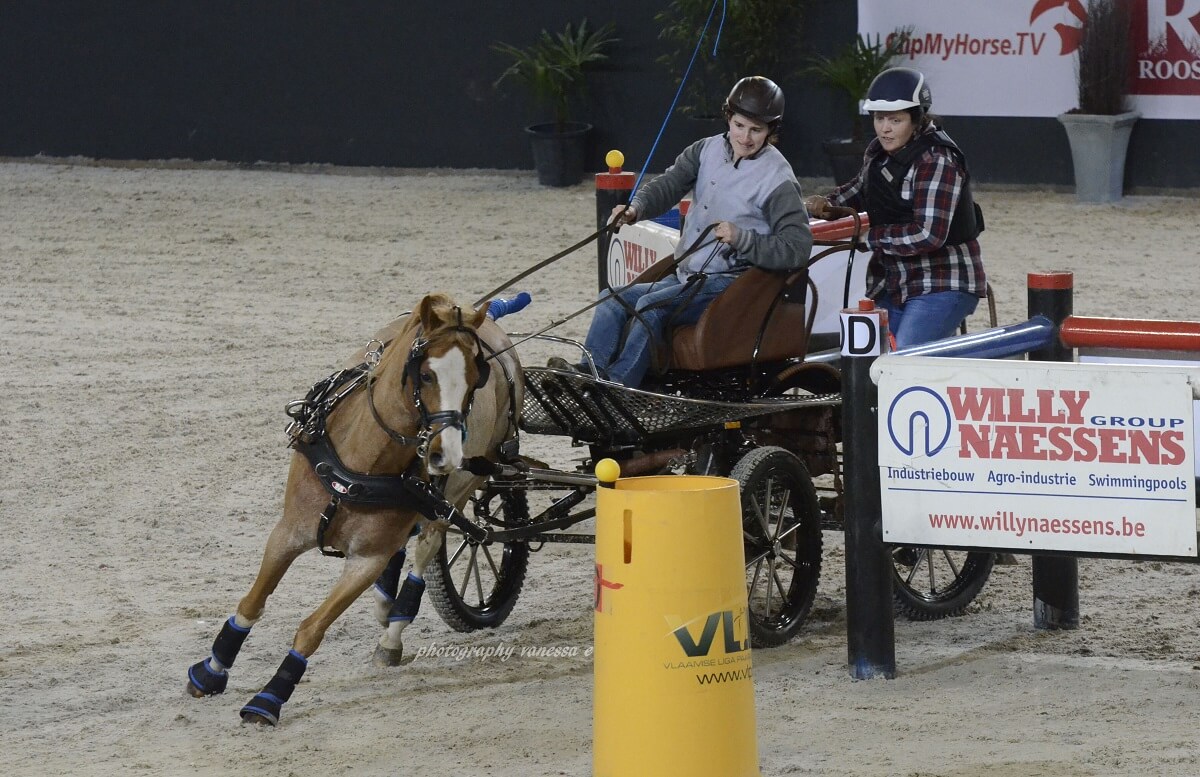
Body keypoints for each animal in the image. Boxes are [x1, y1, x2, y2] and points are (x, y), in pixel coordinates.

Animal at [185, 293, 523, 726]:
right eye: (426, 375)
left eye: (474, 379)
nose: (445, 455)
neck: (364, 465)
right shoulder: (288, 532)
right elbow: (252, 603)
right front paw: (211, 670)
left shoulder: (366, 560)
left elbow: (312, 629)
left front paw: (269, 698)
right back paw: (385, 603)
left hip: (461, 490)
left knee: (427, 545)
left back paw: (393, 631)